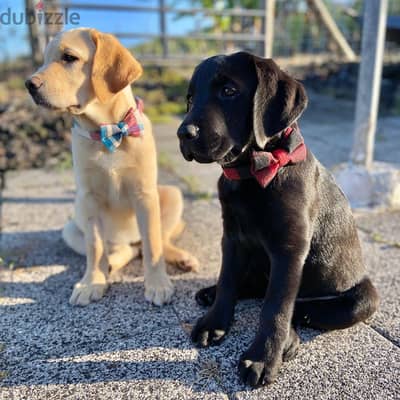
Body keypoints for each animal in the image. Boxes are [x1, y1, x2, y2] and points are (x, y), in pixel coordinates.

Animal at [25, 28, 198, 306]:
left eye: (69, 57)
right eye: (43, 60)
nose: (28, 85)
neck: (109, 131)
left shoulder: (145, 195)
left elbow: (153, 244)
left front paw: (157, 283)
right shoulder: (88, 198)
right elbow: (95, 247)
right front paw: (92, 282)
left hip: (171, 194)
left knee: (155, 242)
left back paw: (180, 258)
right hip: (71, 227)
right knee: (123, 250)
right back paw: (109, 268)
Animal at [177, 51, 380, 390]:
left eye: (228, 91)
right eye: (190, 99)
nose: (184, 134)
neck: (251, 173)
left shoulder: (290, 249)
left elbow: (276, 308)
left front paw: (263, 358)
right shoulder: (232, 238)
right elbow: (229, 279)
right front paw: (216, 321)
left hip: (364, 297)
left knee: (295, 307)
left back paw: (291, 337)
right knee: (254, 287)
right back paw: (211, 293)